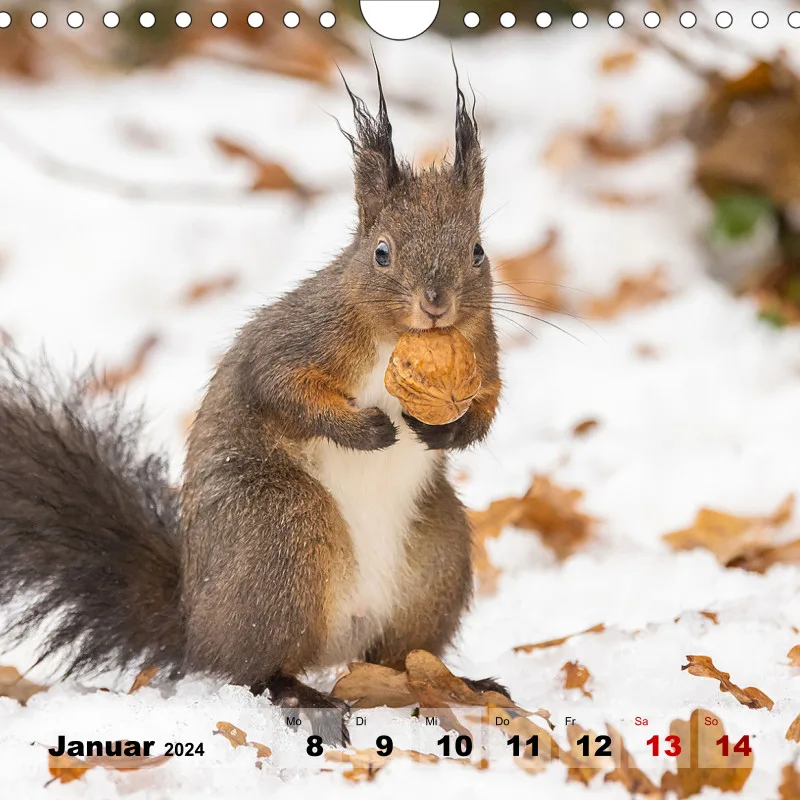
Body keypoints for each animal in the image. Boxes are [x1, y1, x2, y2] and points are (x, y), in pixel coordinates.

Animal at [0, 67, 503, 745]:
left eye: (477, 250)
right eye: (381, 252)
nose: (436, 302)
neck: (397, 339)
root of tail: (197, 623)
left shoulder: (481, 346)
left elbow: (491, 396)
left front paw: (449, 431)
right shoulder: (298, 337)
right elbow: (277, 385)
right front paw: (362, 429)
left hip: (436, 557)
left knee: (398, 655)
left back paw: (454, 685)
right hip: (280, 534)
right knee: (251, 669)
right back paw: (298, 695)